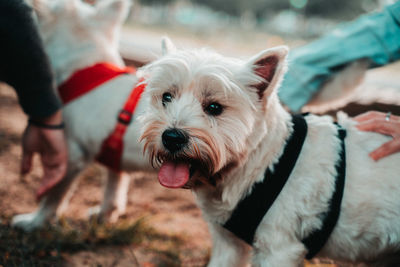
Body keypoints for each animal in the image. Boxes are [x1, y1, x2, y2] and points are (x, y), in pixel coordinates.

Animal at [11, 0, 154, 230]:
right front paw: (105, 215)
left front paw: (35, 222)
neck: (86, 68)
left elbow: (53, 196)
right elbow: (114, 188)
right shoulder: (115, 157)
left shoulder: (71, 155)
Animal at [139, 38, 400, 266]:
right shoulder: (228, 244)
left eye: (214, 107)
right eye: (166, 97)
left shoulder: (278, 248)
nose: (172, 138)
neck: (264, 162)